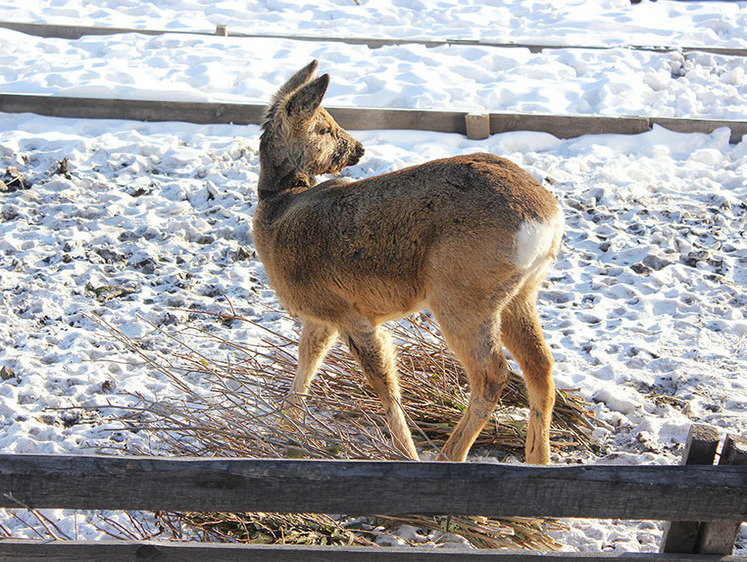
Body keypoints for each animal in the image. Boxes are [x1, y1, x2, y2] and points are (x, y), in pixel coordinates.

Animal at [254, 61, 564, 462]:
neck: (279, 208)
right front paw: (280, 434)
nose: (358, 148)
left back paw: (449, 455)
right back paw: (537, 459)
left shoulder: (348, 311)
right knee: (540, 364)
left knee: (493, 373)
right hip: (520, 293)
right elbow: (304, 368)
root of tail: (548, 218)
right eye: (325, 126)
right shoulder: (320, 315)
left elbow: (384, 384)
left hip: (460, 290)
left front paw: (407, 454)